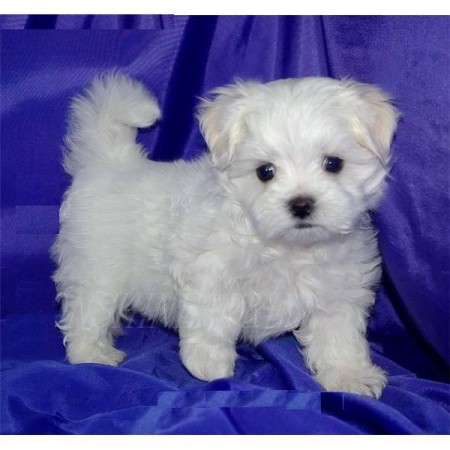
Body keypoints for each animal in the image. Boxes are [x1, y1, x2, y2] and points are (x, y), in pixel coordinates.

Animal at [52, 72, 399, 398]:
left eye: (333, 163)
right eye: (265, 172)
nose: (301, 204)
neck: (289, 247)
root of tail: (110, 162)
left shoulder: (339, 289)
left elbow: (338, 335)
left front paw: (350, 377)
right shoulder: (212, 274)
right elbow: (213, 322)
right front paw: (210, 366)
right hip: (96, 267)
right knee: (87, 311)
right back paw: (91, 354)